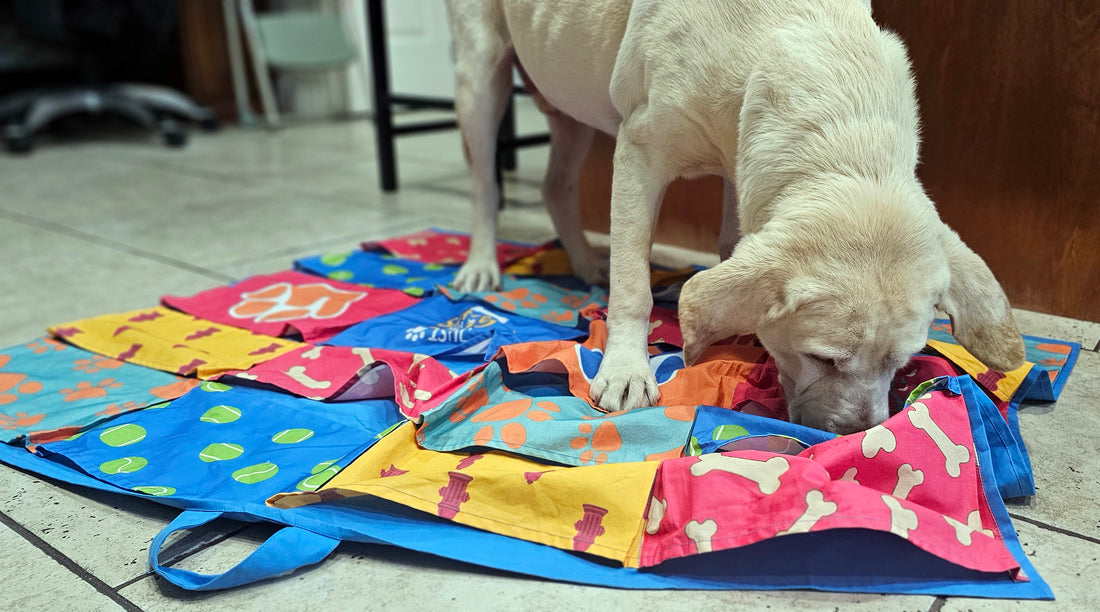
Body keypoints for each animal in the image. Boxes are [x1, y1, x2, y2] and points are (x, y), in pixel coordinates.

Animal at [442, 0, 1025, 433]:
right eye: (824, 358)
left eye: (902, 364)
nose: (858, 434)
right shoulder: (640, 150)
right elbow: (632, 282)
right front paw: (627, 368)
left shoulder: (741, 159)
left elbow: (730, 243)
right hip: (481, 69)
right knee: (482, 181)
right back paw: (480, 266)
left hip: (568, 101)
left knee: (555, 185)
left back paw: (585, 263)